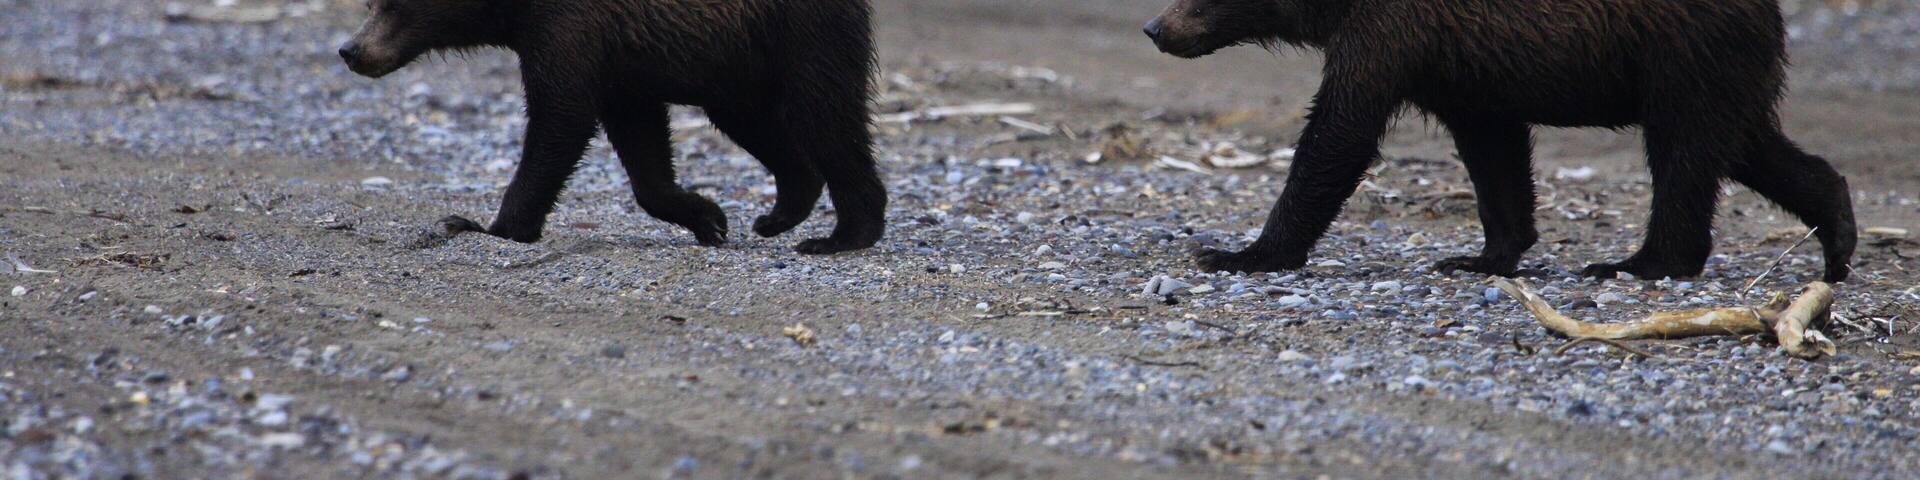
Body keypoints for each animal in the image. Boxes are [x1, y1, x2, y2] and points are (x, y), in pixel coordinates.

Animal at [339, 0, 886, 254]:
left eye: (394, 4)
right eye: (370, 3)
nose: (350, 50)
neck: (515, 14)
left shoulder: (570, 30)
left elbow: (560, 118)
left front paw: (489, 225)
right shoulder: (623, 64)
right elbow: (641, 144)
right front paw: (707, 216)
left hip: (798, 32)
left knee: (825, 114)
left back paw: (843, 235)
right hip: (736, 62)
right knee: (758, 124)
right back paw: (779, 214)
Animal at [1144, 0, 1857, 282]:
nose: (1155, 27)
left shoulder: (1391, 32)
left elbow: (1338, 133)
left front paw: (1239, 252)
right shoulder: (1462, 66)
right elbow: (1494, 153)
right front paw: (1483, 255)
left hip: (1680, 53)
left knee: (1684, 156)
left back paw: (1639, 262)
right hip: (1714, 68)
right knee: (1744, 144)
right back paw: (1838, 239)